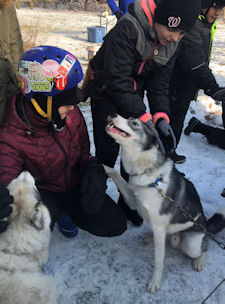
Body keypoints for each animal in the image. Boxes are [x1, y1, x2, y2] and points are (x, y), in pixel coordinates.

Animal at [104, 113, 220, 292]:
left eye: (134, 123)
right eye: (129, 117)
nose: (112, 114)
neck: (147, 171)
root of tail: (206, 227)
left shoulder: (159, 228)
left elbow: (159, 261)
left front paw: (155, 281)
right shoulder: (132, 199)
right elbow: (114, 172)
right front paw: (94, 162)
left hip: (192, 245)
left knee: (204, 248)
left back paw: (199, 260)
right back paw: (150, 236)